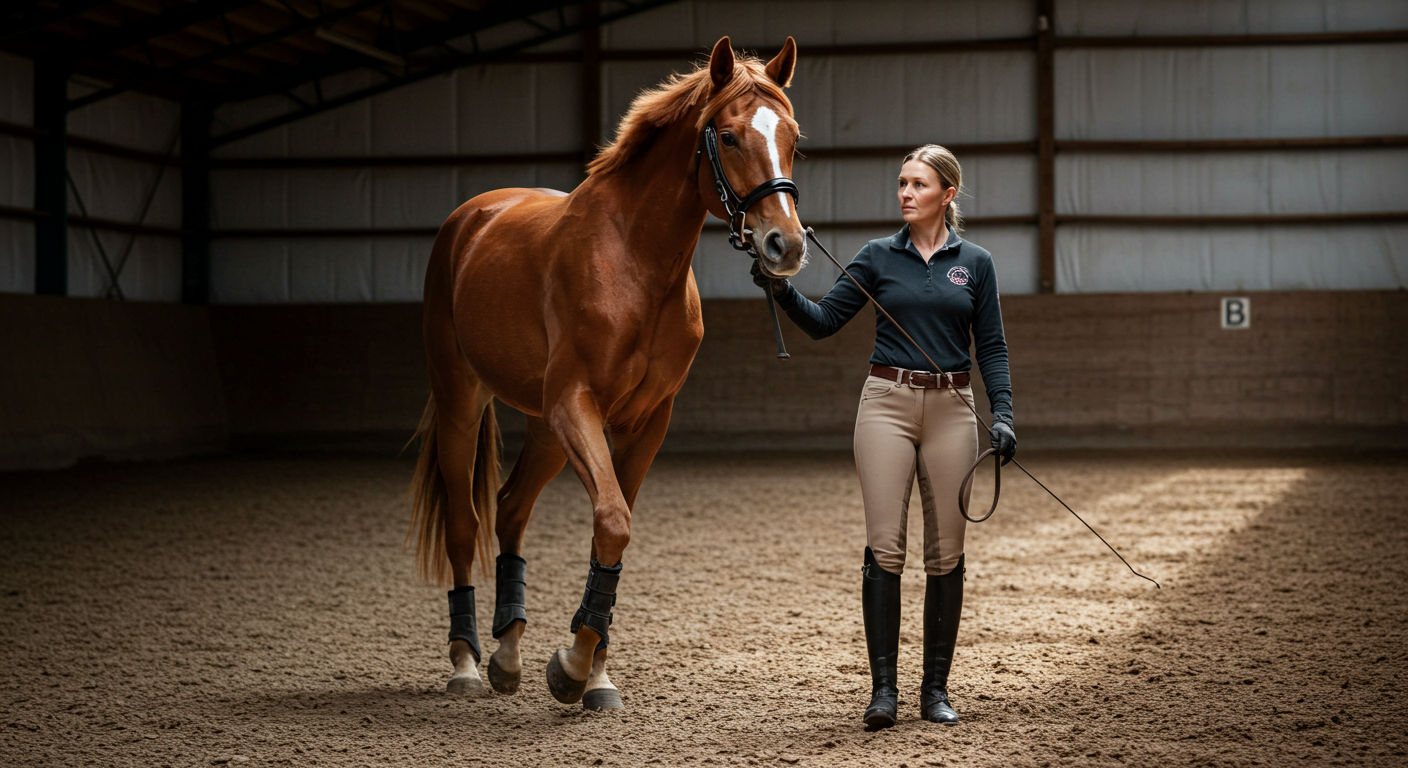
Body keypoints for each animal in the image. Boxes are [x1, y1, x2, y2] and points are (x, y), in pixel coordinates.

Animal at [408, 35, 805, 707]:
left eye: (793, 137)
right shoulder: (577, 403)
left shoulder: (644, 421)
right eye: (728, 137)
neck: (635, 262)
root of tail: (472, 217)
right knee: (465, 524)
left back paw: (508, 654)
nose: (787, 245)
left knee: (510, 508)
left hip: (545, 427)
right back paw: (465, 663)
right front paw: (571, 667)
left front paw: (592, 674)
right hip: (465, 402)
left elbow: (611, 531)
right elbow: (613, 522)